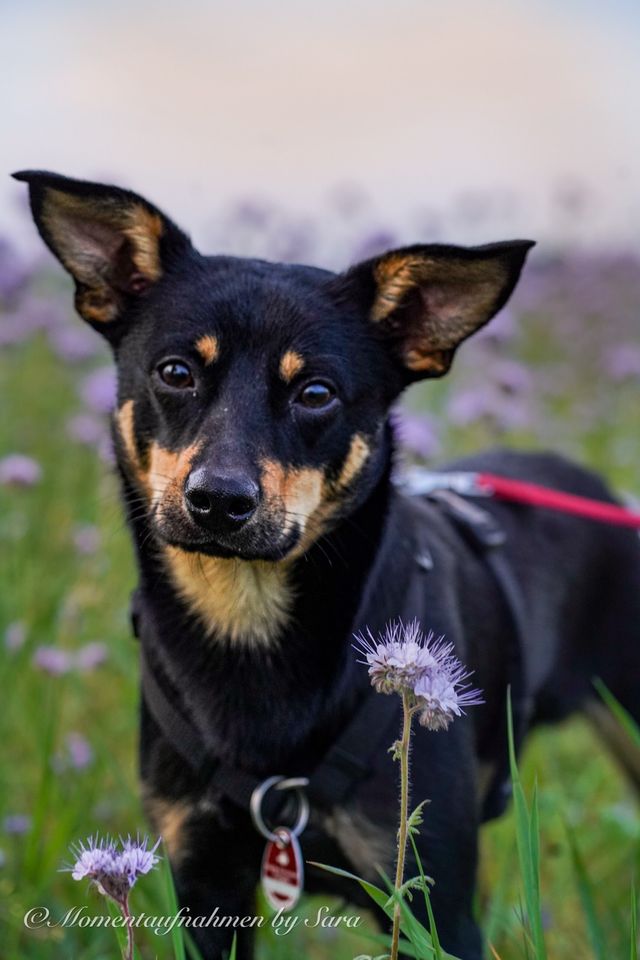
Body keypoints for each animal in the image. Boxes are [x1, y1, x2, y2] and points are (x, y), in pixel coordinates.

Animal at [16, 172, 640, 960]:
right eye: (175, 372)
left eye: (315, 393)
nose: (219, 500)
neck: (249, 631)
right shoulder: (202, 876)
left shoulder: (433, 897)